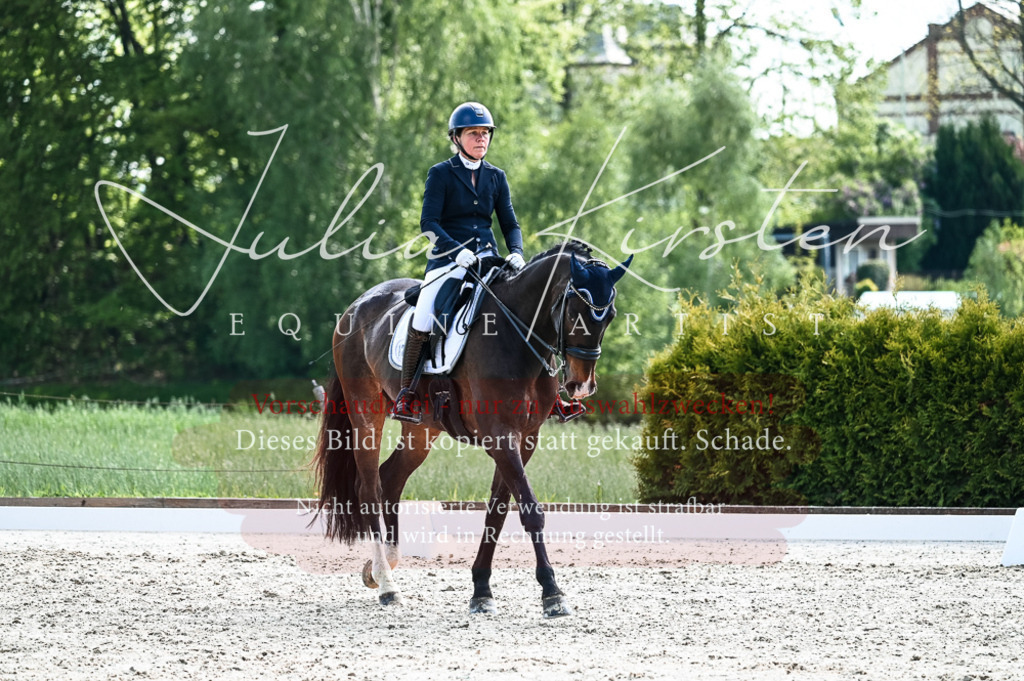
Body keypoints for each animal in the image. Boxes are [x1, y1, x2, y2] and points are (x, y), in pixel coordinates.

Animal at [311, 240, 632, 617]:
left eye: (609, 316)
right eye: (573, 313)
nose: (581, 385)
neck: (516, 334)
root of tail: (357, 305)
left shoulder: (525, 439)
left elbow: (498, 512)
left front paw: (481, 590)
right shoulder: (500, 436)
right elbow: (530, 511)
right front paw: (552, 593)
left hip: (422, 428)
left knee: (390, 478)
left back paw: (381, 567)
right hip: (365, 412)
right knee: (369, 489)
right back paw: (388, 585)